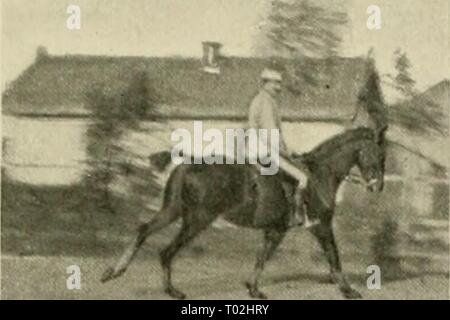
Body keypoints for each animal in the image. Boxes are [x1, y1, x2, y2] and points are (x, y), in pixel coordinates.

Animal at [102, 127, 386, 300]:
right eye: (377, 154)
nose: (378, 186)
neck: (319, 175)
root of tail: (189, 163)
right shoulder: (322, 226)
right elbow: (334, 257)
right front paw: (349, 290)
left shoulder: (275, 230)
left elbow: (262, 258)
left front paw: (253, 289)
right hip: (197, 220)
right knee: (166, 251)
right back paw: (171, 290)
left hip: (173, 211)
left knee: (143, 231)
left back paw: (114, 271)